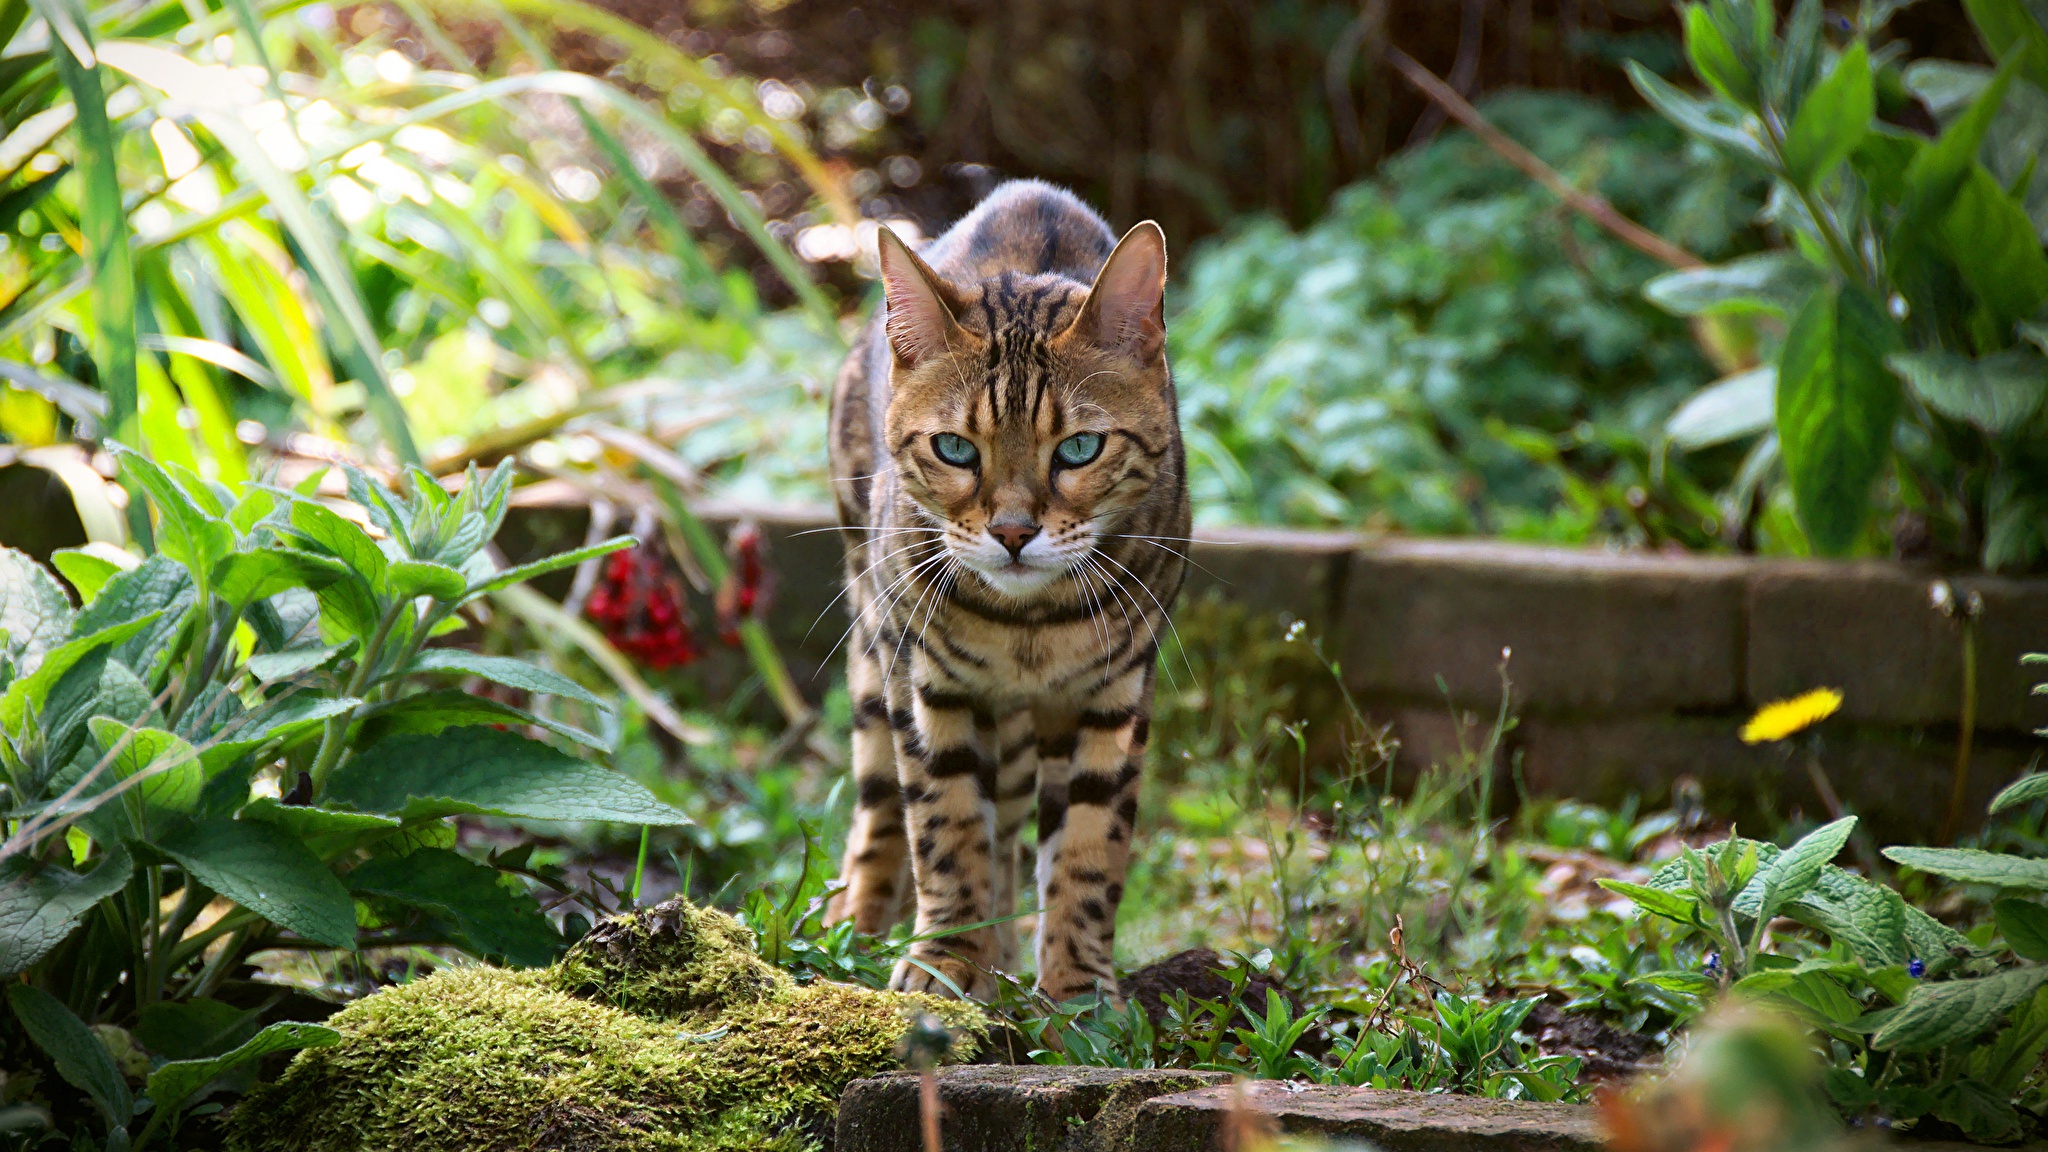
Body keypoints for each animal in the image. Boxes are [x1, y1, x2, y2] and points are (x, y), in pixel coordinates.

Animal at [823, 179, 1196, 996]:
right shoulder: (928, 683)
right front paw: (945, 959)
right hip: (871, 636)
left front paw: (1077, 985)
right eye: (954, 448)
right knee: (879, 806)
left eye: (1080, 447)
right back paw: (855, 925)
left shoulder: (1116, 691)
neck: (1029, 629)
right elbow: (947, 823)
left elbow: (1090, 845)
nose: (1015, 532)